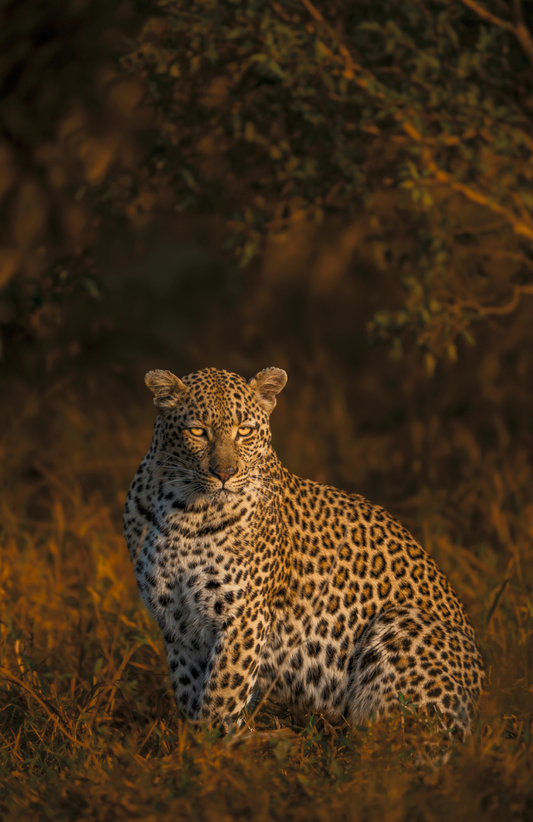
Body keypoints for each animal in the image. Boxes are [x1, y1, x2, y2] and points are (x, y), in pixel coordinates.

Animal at [123, 366, 485, 733]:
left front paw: (214, 744)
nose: (225, 473)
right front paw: (195, 741)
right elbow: (189, 692)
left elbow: (221, 694)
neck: (185, 512)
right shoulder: (176, 622)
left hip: (400, 624)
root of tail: (476, 704)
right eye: (197, 431)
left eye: (244, 431)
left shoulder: (242, 616)